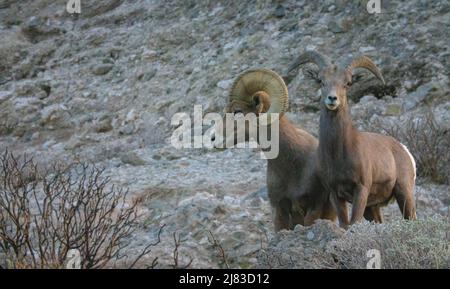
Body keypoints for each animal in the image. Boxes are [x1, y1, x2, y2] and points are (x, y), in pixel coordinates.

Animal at [288, 51, 418, 227]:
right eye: (321, 81)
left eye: (348, 83)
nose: (332, 99)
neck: (338, 154)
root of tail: (404, 150)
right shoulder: (335, 194)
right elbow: (345, 224)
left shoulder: (361, 190)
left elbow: (354, 222)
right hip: (372, 208)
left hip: (404, 192)